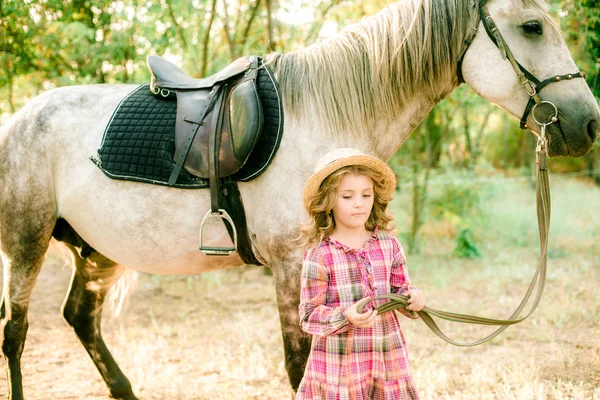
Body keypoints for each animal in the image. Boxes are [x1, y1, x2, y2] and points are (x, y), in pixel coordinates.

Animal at [0, 0, 596, 398]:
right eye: (533, 26)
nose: (588, 123)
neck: (325, 117)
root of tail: (21, 116)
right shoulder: (294, 265)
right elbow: (299, 366)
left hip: (96, 252)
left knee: (80, 319)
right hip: (28, 243)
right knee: (16, 332)